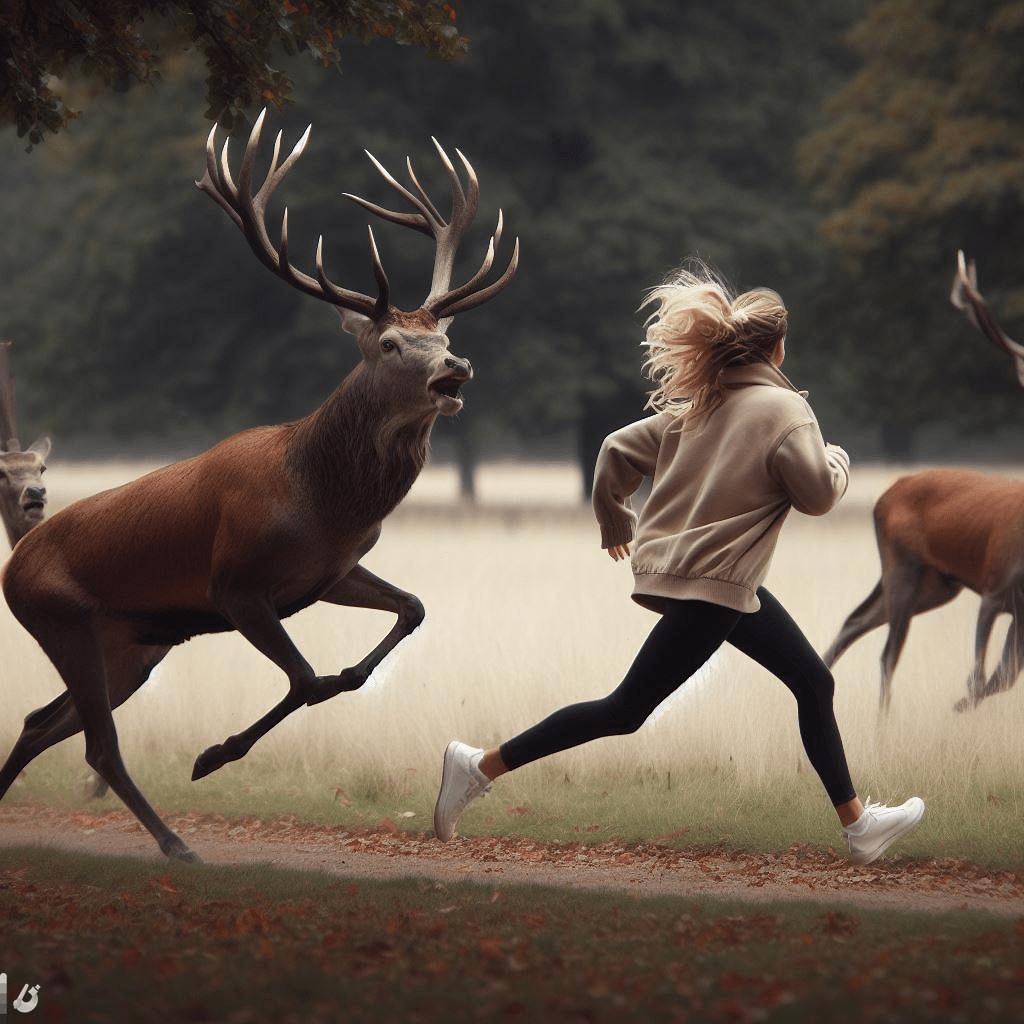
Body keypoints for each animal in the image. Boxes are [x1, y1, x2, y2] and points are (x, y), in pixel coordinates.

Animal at [0, 110, 518, 861]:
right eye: (391, 344)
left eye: (444, 335)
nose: (458, 367)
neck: (322, 502)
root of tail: (13, 563)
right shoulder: (234, 585)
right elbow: (306, 680)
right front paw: (213, 755)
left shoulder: (331, 570)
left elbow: (410, 611)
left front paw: (344, 679)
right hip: (61, 618)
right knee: (97, 745)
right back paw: (176, 843)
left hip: (130, 645)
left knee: (41, 722)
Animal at [824, 250, 1024, 714]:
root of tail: (887, 494)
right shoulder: (995, 588)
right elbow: (982, 675)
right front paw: (959, 703)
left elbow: (1002, 678)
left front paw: (959, 705)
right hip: (903, 565)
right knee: (886, 654)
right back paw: (880, 722)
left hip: (937, 583)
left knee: (855, 620)